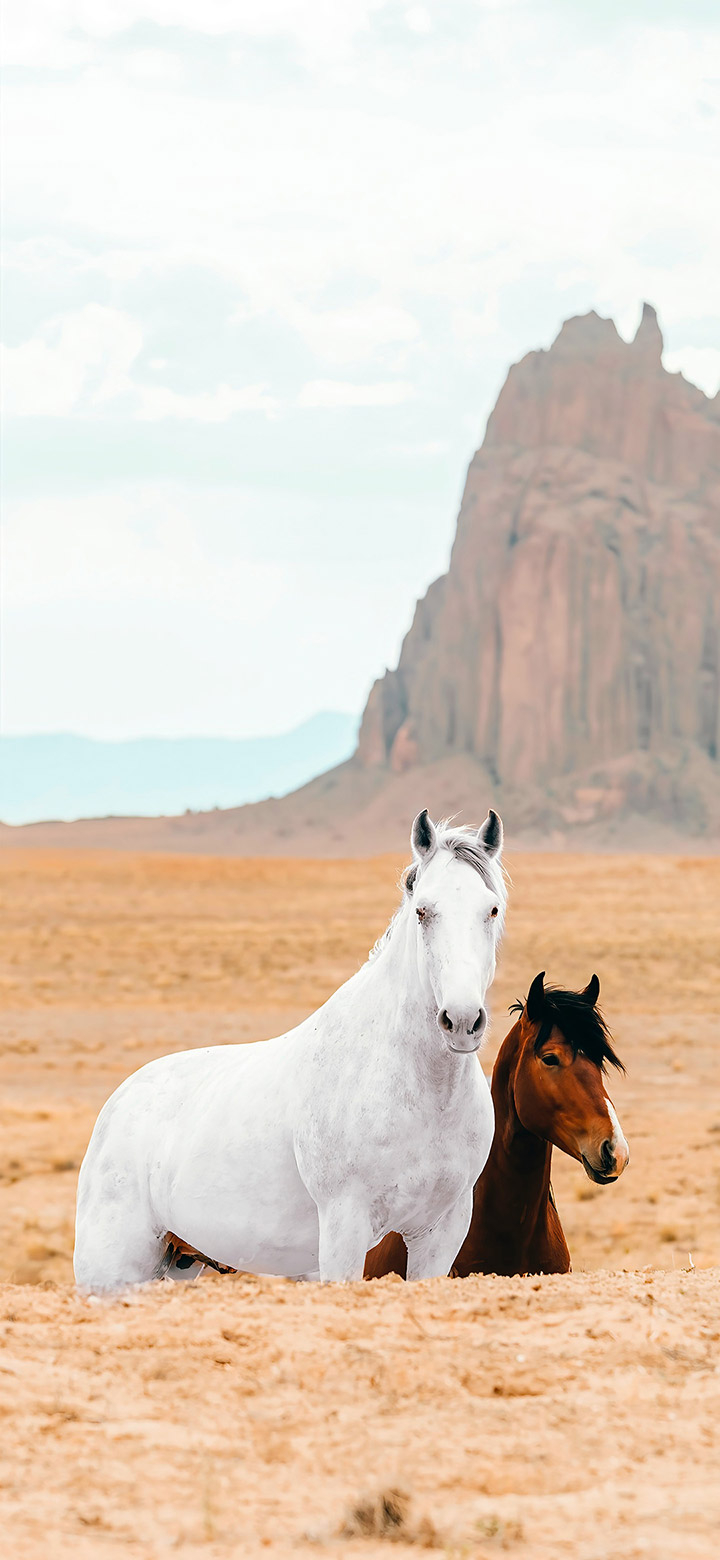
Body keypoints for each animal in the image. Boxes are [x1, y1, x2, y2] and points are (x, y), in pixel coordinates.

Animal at [74, 804, 504, 1291]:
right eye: (422, 911)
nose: (462, 1021)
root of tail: (118, 1102)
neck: (416, 1089)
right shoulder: (344, 1227)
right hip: (111, 1271)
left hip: (177, 1262)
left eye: (491, 908)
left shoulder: (440, 1232)